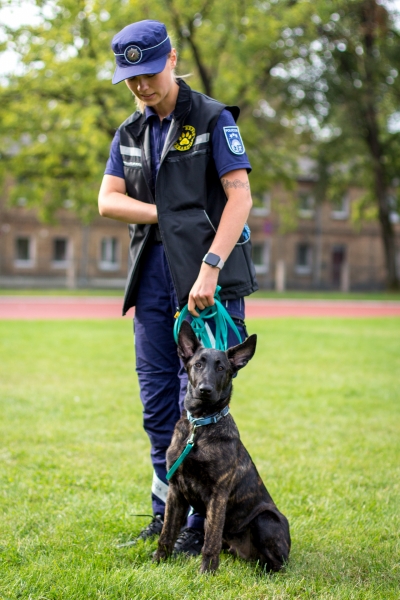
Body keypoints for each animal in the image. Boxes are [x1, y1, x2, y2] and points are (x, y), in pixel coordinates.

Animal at [154, 322, 290, 576]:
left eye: (221, 368)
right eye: (198, 364)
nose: (205, 389)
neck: (200, 426)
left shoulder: (218, 494)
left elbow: (211, 541)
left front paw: (206, 574)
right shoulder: (176, 490)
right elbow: (167, 533)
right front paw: (157, 563)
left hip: (265, 518)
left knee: (278, 565)